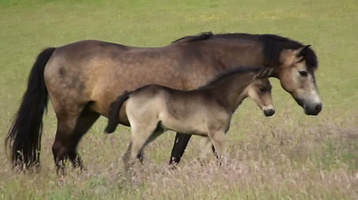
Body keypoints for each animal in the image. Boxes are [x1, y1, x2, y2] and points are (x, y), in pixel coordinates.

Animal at [105, 66, 274, 169]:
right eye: (261, 88)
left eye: (271, 87)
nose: (270, 111)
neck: (219, 98)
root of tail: (131, 93)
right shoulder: (217, 134)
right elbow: (224, 158)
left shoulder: (207, 137)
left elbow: (205, 159)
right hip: (143, 130)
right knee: (129, 157)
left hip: (155, 131)